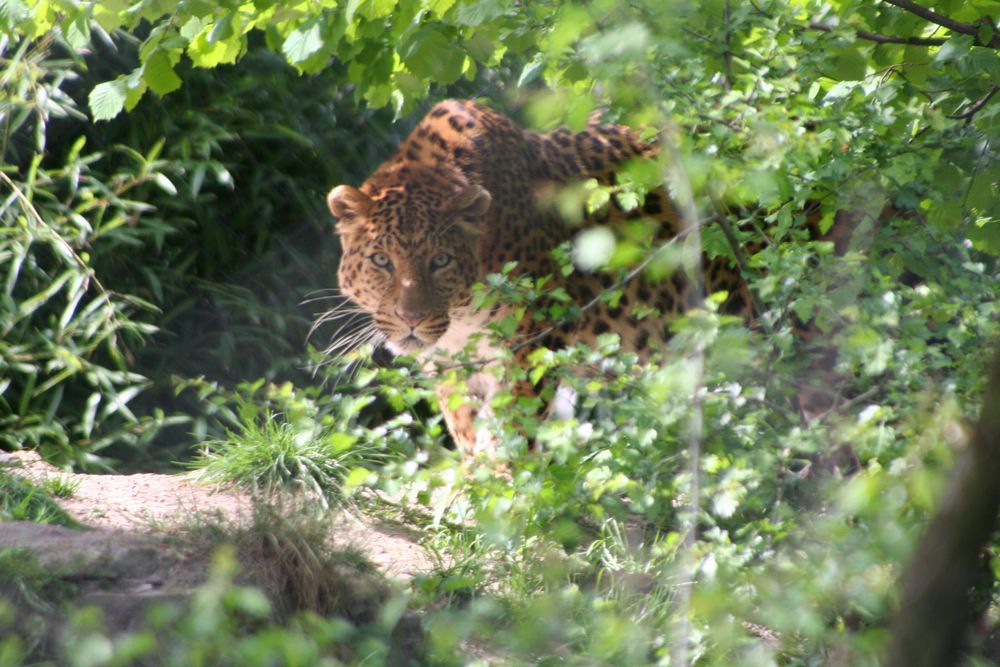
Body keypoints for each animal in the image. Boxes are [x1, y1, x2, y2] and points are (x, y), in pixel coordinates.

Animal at [326, 99, 772, 462]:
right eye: (381, 260)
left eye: (440, 261)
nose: (411, 318)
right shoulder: (450, 362)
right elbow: (465, 421)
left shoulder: (533, 332)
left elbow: (513, 418)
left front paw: (501, 482)